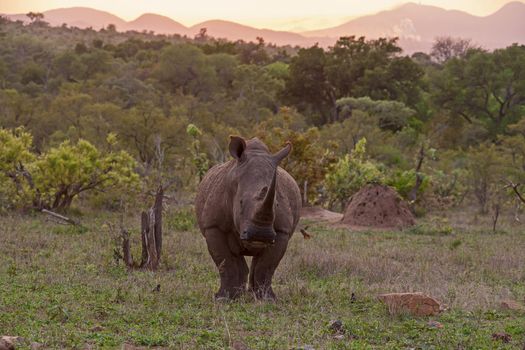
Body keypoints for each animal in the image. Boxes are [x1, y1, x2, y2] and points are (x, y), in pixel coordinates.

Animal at [195, 135, 300, 300]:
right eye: (240, 202)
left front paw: (268, 299)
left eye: (277, 204)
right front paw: (223, 298)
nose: (260, 235)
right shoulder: (213, 226)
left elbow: (267, 266)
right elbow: (226, 262)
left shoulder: (282, 231)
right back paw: (239, 294)